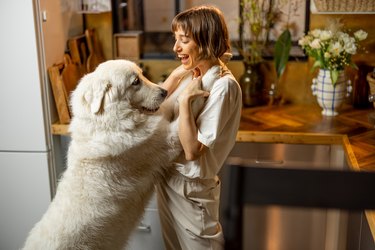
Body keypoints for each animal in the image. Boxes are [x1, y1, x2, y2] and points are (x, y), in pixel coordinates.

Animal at [22, 59, 183, 249]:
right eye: (135, 82)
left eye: (142, 75)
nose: (164, 92)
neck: (105, 122)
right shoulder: (165, 141)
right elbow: (180, 121)